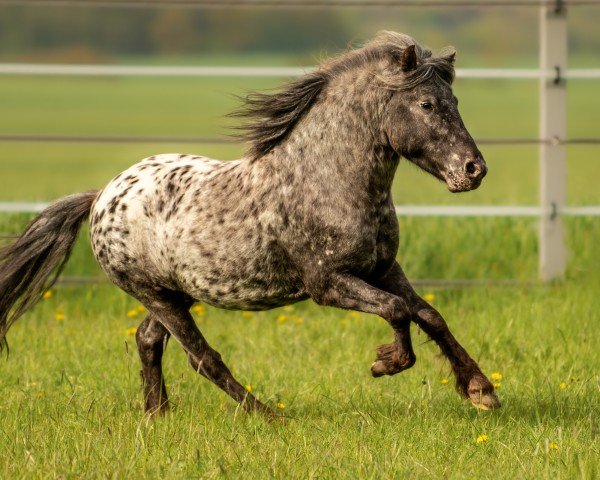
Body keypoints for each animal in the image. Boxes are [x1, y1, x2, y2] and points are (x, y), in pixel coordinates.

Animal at [0, 31, 502, 418]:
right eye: (427, 104)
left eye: (454, 100)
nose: (475, 169)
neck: (325, 179)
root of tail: (101, 197)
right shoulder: (328, 283)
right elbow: (397, 311)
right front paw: (386, 363)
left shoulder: (383, 269)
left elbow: (429, 315)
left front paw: (481, 391)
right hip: (152, 292)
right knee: (202, 357)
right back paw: (267, 415)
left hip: (173, 292)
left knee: (148, 340)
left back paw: (157, 415)